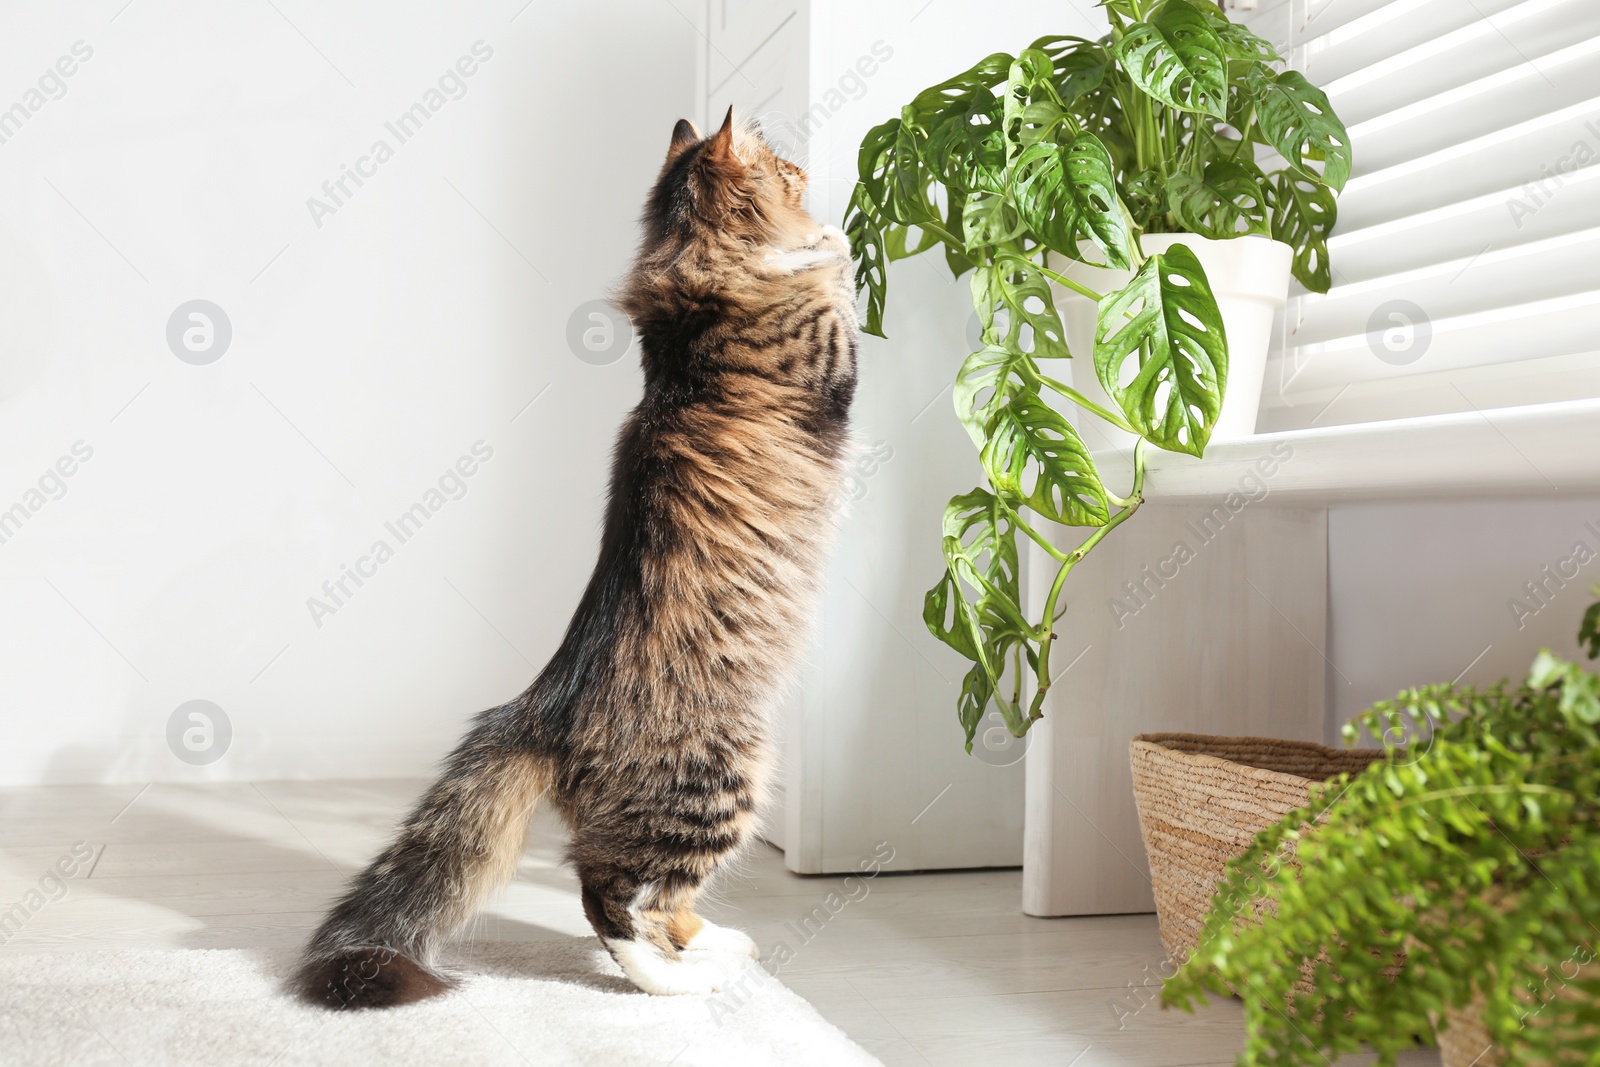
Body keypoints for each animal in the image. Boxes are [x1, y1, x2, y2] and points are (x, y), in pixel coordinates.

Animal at [292, 108, 857, 1011]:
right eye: (789, 168)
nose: (809, 165)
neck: (692, 290)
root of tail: (544, 705)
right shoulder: (827, 356)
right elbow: (833, 275)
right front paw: (830, 241)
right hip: (722, 781)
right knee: (612, 898)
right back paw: (685, 982)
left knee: (655, 901)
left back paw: (720, 947)